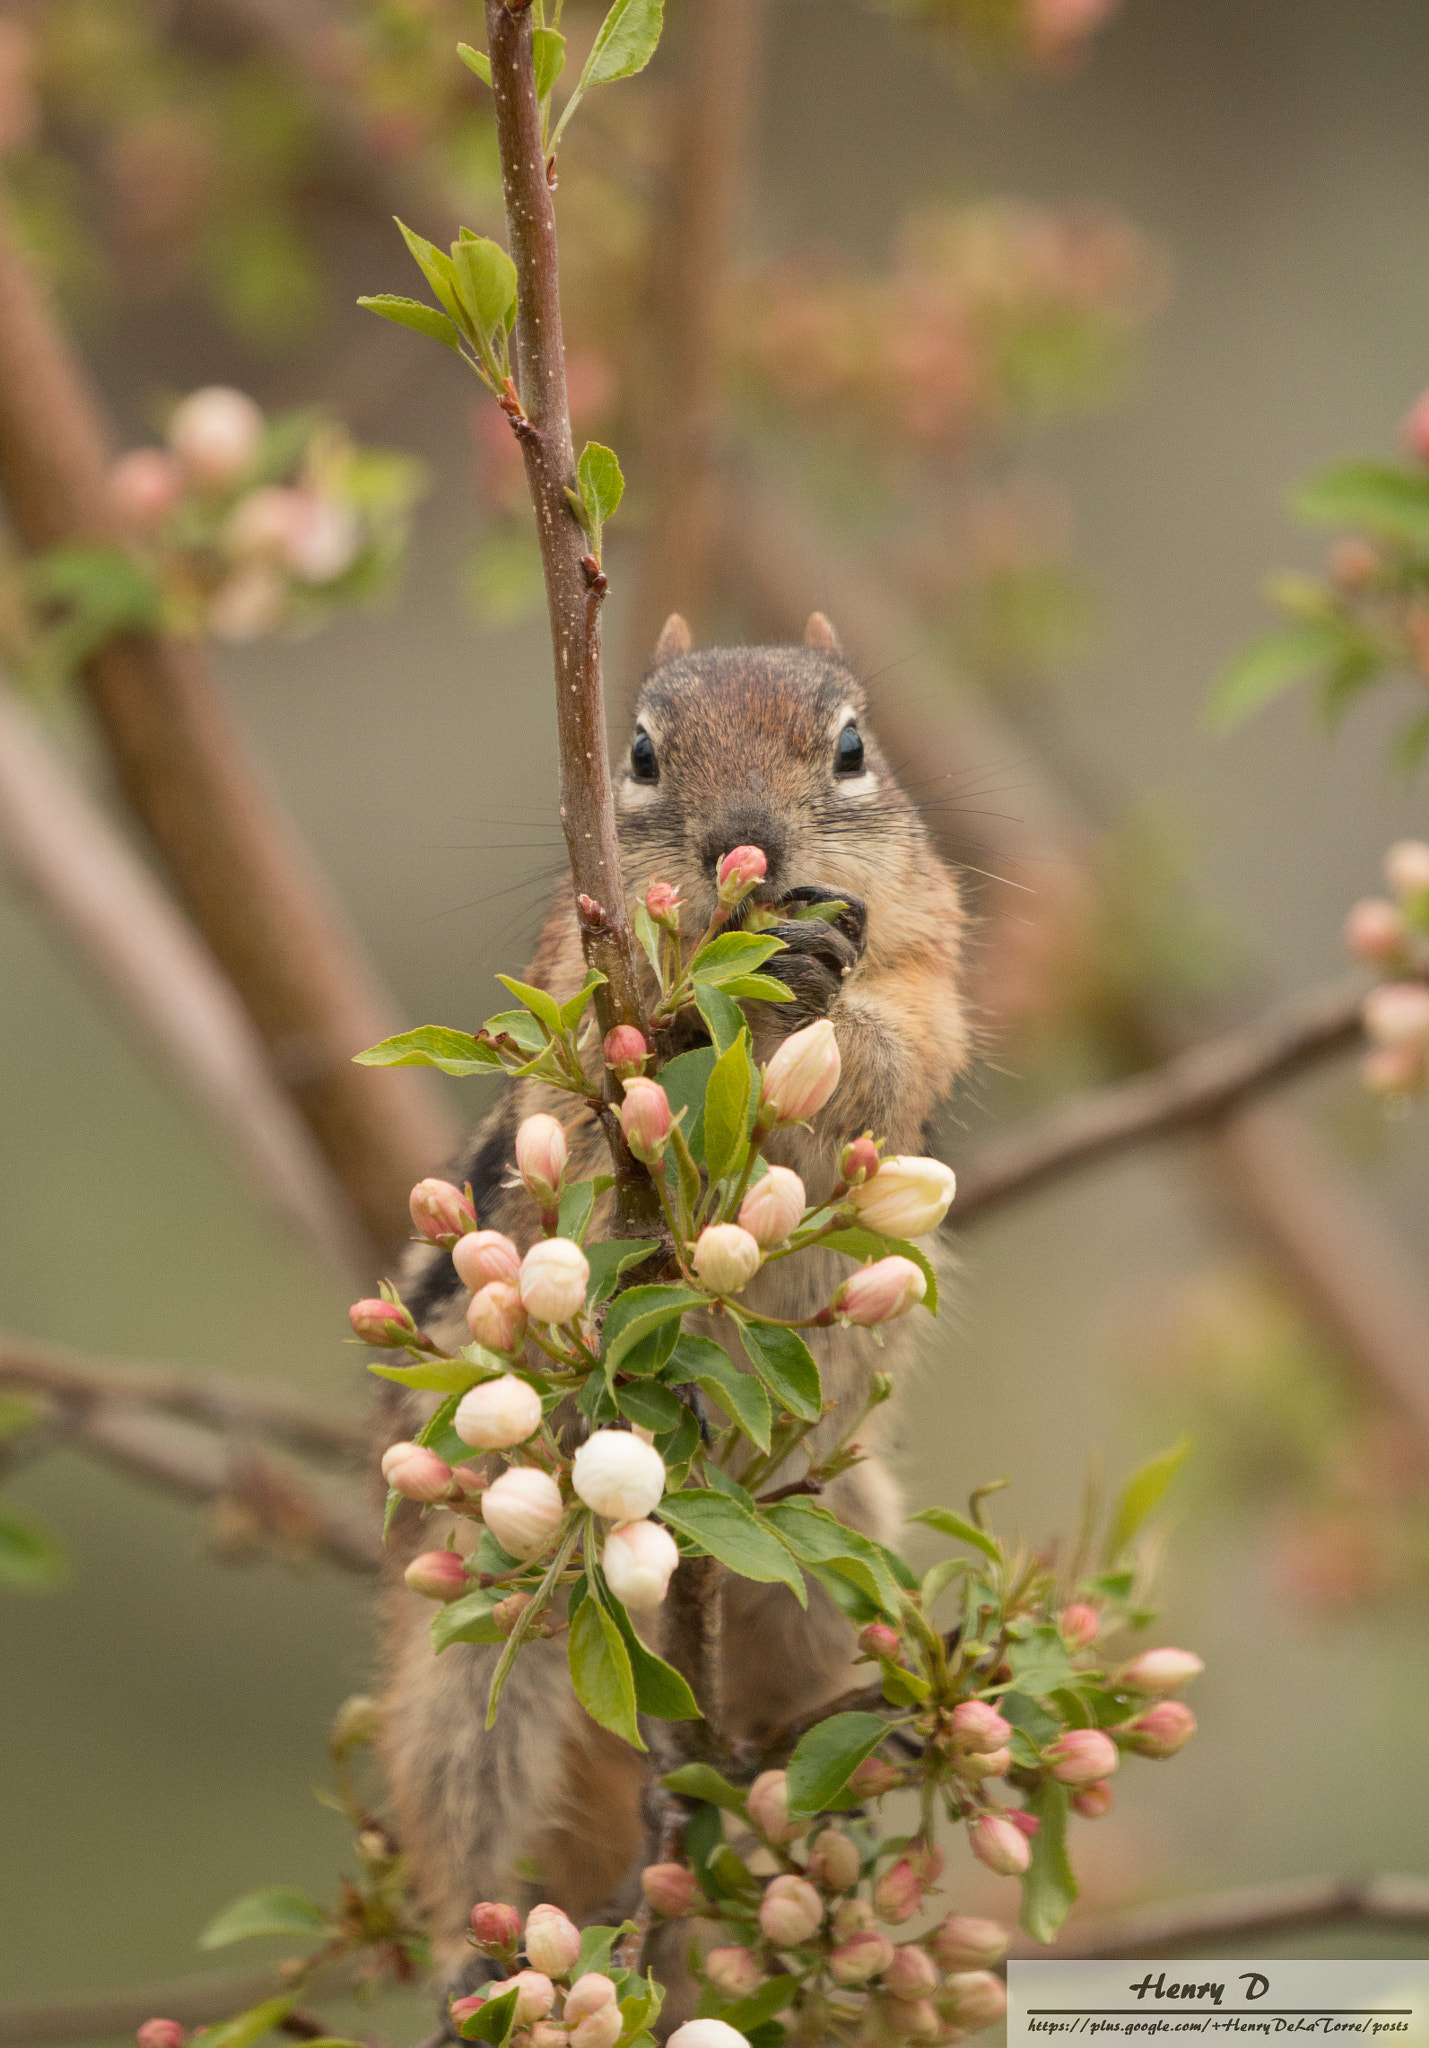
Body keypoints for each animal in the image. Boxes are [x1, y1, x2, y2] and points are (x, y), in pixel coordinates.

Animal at [377, 610, 970, 1976]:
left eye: (850, 747)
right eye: (640, 755)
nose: (741, 840)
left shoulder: (933, 965)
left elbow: (902, 1043)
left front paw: (817, 978)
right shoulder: (565, 985)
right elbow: (581, 1090)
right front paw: (688, 1018)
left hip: (827, 1549)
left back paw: (862, 1740)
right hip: (476, 1622)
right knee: (463, 1774)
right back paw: (470, 1954)